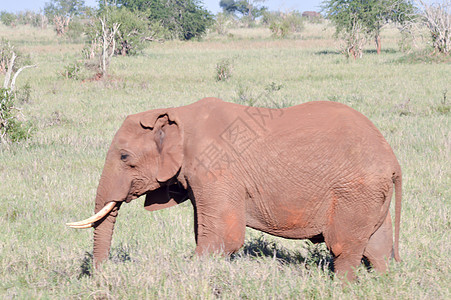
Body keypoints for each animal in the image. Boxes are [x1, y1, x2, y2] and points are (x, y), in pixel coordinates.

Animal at [69, 98, 404, 282]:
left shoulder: (216, 170)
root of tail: (392, 159)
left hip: (354, 190)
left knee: (343, 247)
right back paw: (382, 282)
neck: (177, 114)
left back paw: (340, 287)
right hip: (370, 194)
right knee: (377, 247)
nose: (100, 275)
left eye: (125, 157)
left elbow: (223, 238)